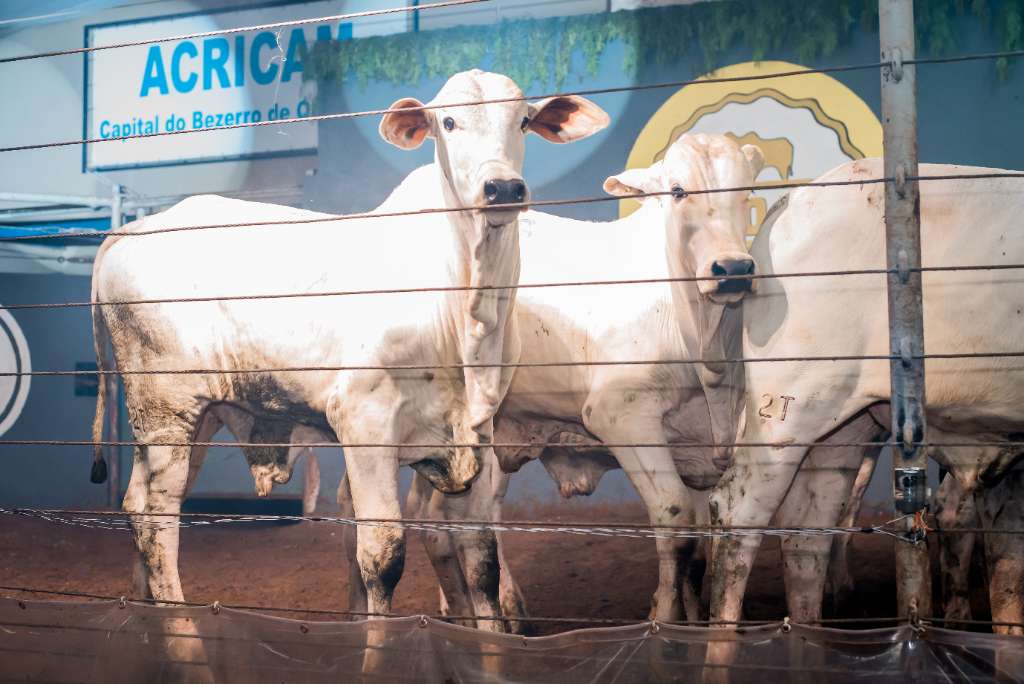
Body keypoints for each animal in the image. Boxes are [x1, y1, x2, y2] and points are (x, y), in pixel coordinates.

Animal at [90, 69, 606, 630]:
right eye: (447, 122)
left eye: (525, 120)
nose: (502, 187)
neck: (464, 311)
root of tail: (129, 229)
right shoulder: (366, 427)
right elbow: (382, 556)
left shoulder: (479, 435)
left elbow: (481, 561)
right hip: (165, 410)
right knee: (156, 515)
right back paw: (179, 627)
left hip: (197, 418)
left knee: (138, 503)